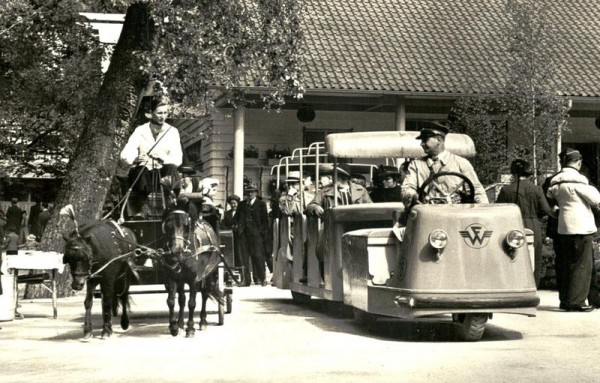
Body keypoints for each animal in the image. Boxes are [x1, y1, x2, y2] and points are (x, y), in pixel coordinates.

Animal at [162, 208, 223, 338]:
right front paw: (174, 326)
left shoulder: (194, 280)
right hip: (181, 279)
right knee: (182, 299)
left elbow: (192, 303)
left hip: (209, 273)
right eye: (168, 226)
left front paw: (190, 328)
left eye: (186, 227)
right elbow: (171, 301)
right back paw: (180, 324)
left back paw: (203, 321)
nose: (176, 250)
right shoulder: (172, 277)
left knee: (205, 294)